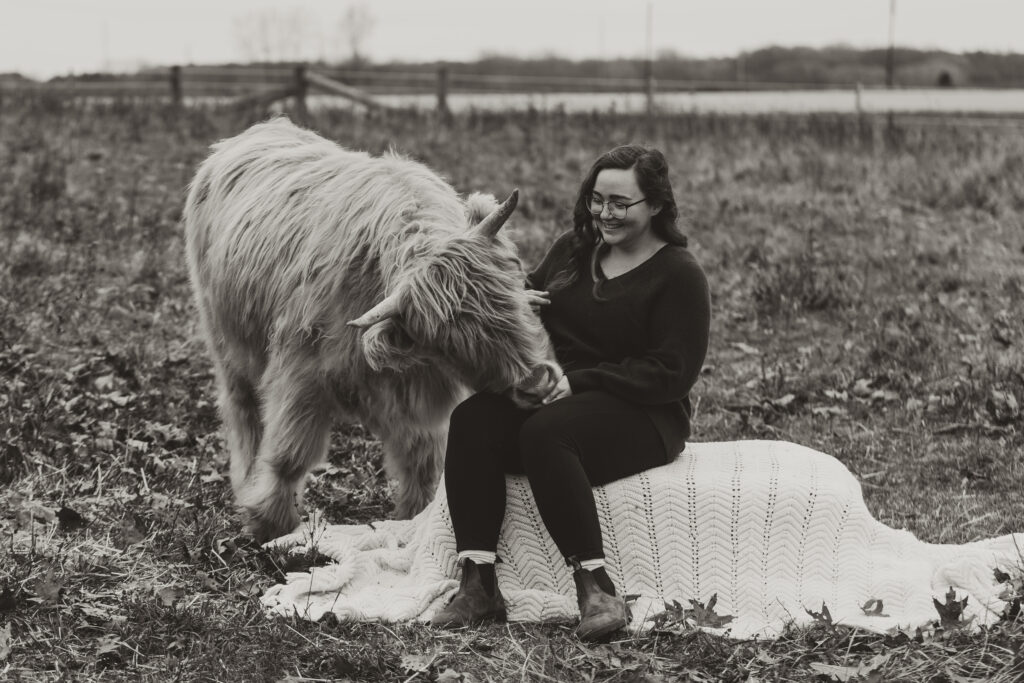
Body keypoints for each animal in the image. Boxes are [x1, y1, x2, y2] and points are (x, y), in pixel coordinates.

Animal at [184, 118, 561, 544]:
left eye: (511, 297)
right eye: (452, 343)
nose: (536, 383)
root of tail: (263, 127)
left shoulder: (419, 395)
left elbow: (423, 461)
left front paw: (416, 519)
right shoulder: (301, 378)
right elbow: (289, 454)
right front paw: (269, 523)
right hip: (227, 342)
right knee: (242, 410)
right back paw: (245, 479)